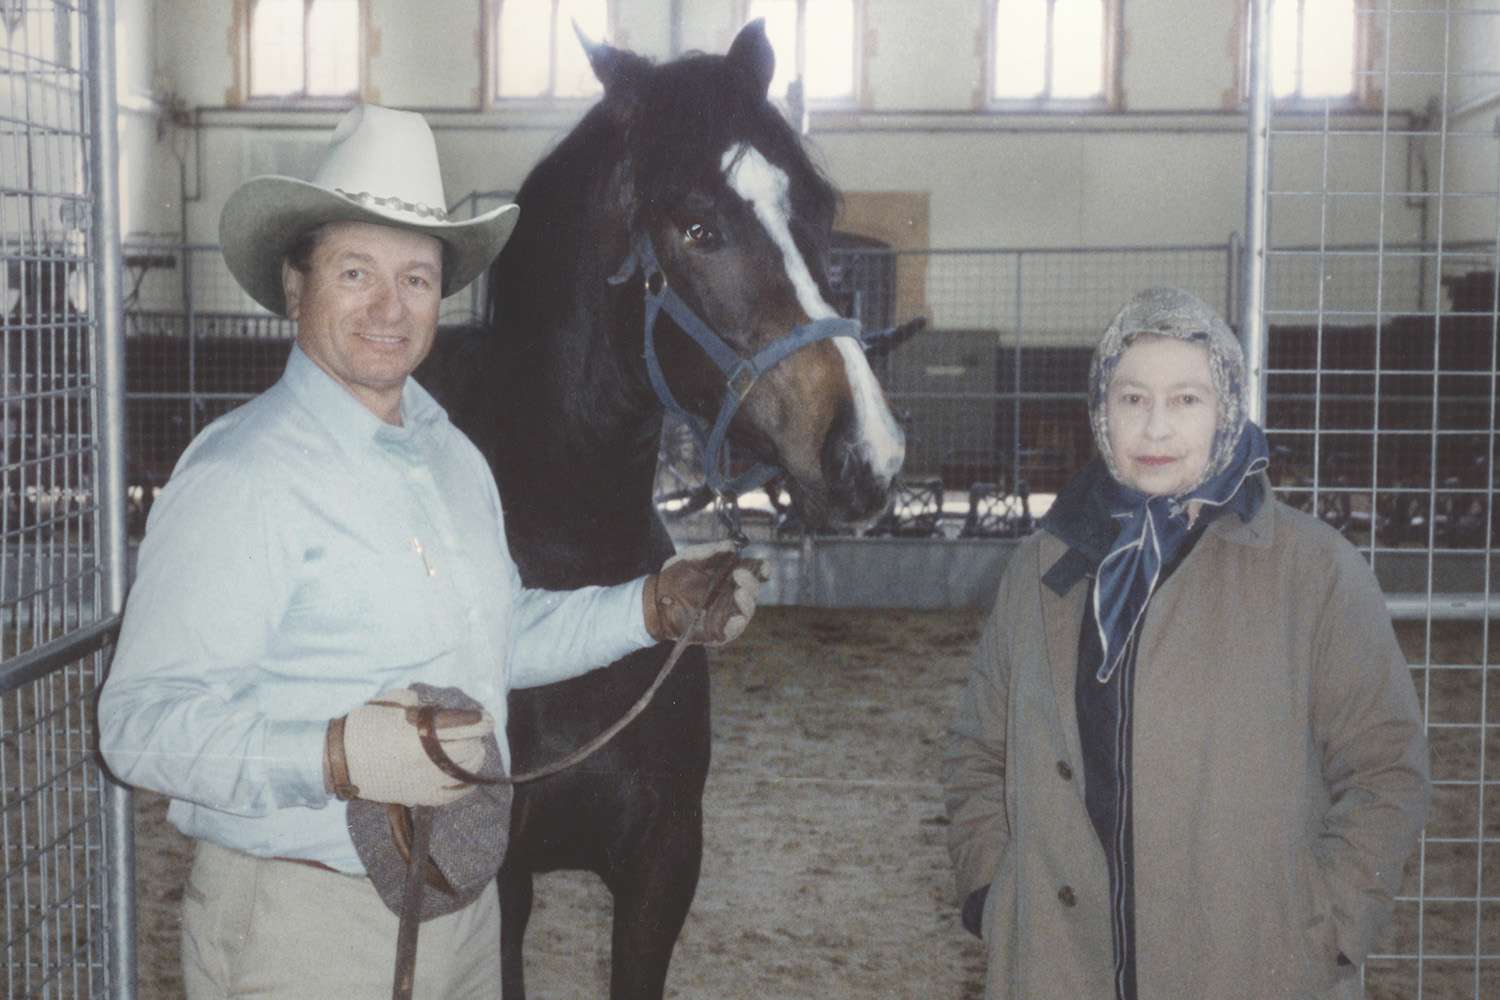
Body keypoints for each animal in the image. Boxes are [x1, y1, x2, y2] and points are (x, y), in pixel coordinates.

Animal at [417, 23, 900, 1000]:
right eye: (697, 227)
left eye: (822, 211)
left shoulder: (663, 865)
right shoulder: (502, 886)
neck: (567, 562)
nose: (865, 455)